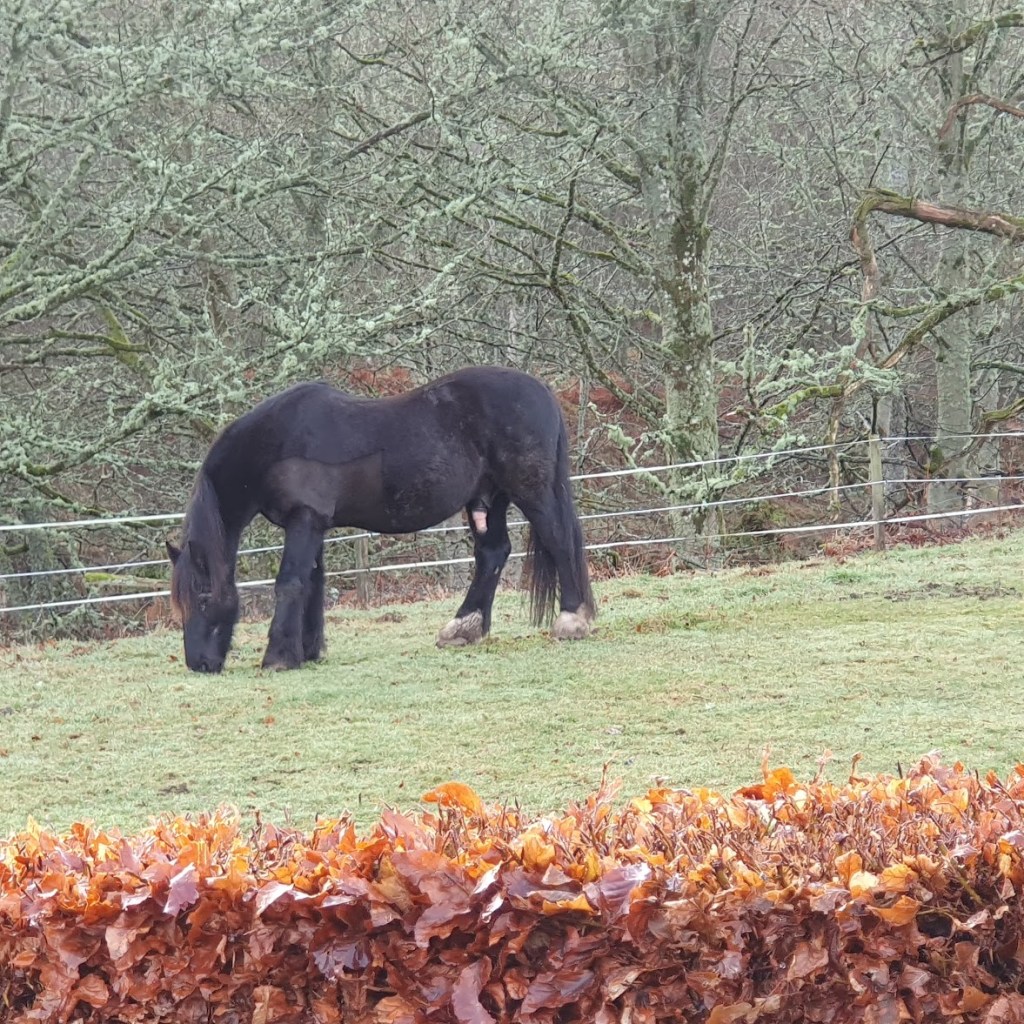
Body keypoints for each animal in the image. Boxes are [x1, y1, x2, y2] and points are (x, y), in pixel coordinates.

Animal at [166, 366, 596, 672]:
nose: (199, 664)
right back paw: (463, 628)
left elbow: (290, 582)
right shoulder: (313, 525)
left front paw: (278, 657)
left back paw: (571, 620)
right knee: (493, 553)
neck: (276, 440)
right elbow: (313, 583)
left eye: (202, 597)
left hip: (531, 491)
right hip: (489, 499)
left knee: (558, 539)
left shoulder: (304, 520)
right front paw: (307, 650)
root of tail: (541, 391)